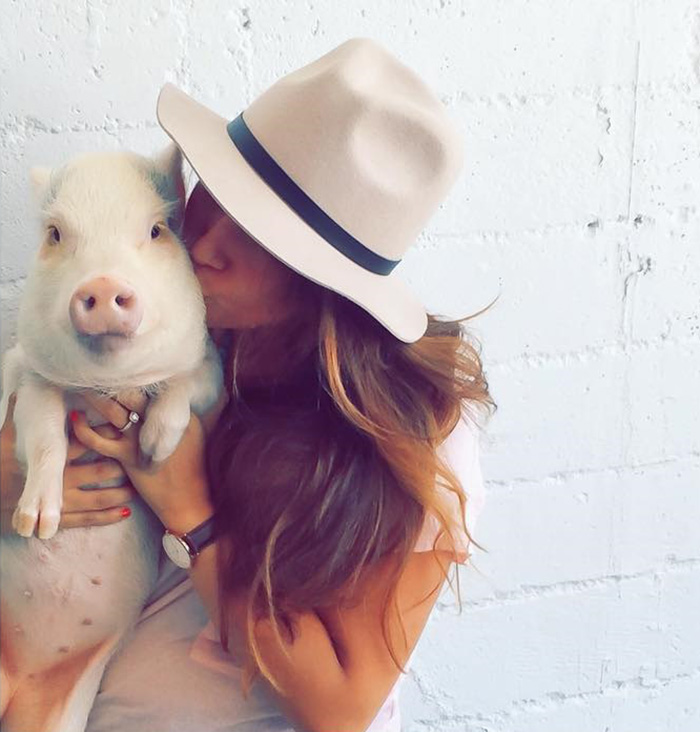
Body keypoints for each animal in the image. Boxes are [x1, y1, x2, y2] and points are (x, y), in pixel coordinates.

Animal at [0, 144, 223, 732]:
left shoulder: (210, 366)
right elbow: (45, 435)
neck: (108, 385)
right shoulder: (33, 379)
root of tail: (19, 680)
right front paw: (38, 526)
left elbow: (186, 387)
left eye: (156, 230)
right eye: (55, 234)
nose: (100, 286)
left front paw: (155, 449)